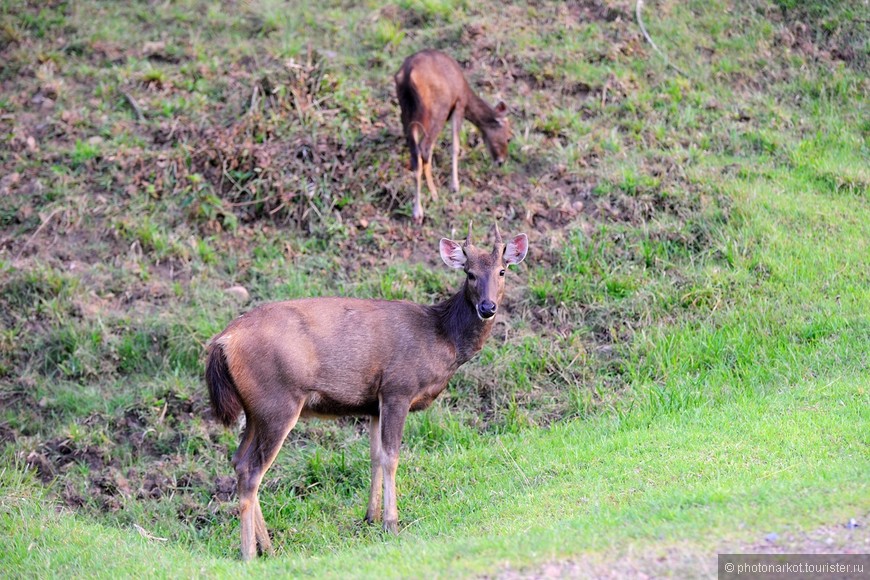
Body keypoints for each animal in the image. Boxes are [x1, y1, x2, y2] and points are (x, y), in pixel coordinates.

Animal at [206, 224, 532, 560]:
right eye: (469, 273)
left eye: (502, 270)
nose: (487, 307)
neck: (441, 338)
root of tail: (223, 341)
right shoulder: (397, 388)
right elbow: (392, 456)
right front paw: (392, 523)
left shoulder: (373, 403)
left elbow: (374, 456)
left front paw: (370, 518)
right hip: (278, 403)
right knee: (252, 470)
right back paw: (249, 553)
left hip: (256, 410)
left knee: (238, 461)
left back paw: (267, 547)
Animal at [398, 49, 516, 223]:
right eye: (508, 137)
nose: (501, 161)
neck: (467, 93)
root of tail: (408, 74)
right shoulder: (459, 104)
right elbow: (455, 146)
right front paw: (455, 186)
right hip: (436, 109)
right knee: (424, 148)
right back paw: (425, 203)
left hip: (407, 113)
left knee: (416, 153)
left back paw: (421, 205)